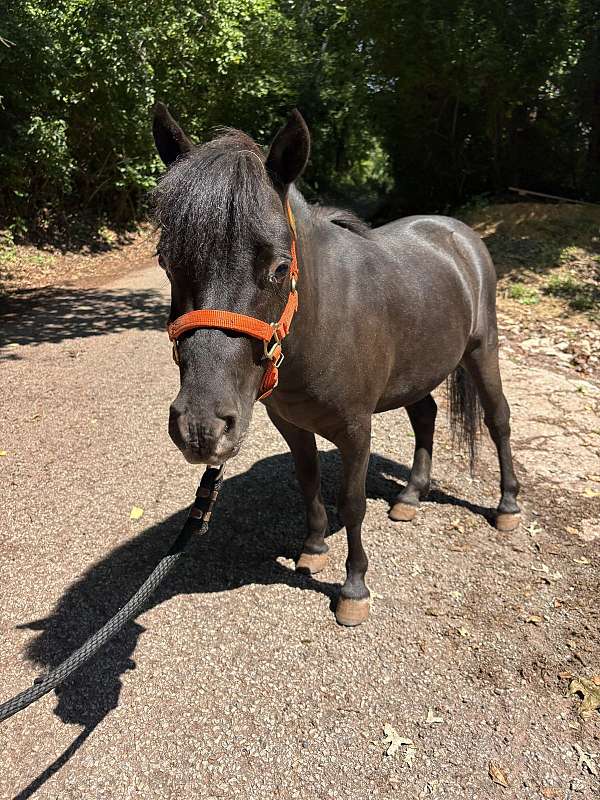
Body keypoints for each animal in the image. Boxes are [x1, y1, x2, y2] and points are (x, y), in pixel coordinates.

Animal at [151, 104, 521, 626]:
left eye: (279, 267)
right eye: (166, 261)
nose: (201, 429)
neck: (321, 322)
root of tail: (459, 233)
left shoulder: (356, 429)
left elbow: (352, 502)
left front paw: (354, 588)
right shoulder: (290, 423)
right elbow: (308, 481)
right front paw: (312, 548)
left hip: (482, 350)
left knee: (498, 419)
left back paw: (507, 506)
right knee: (425, 414)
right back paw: (410, 496)